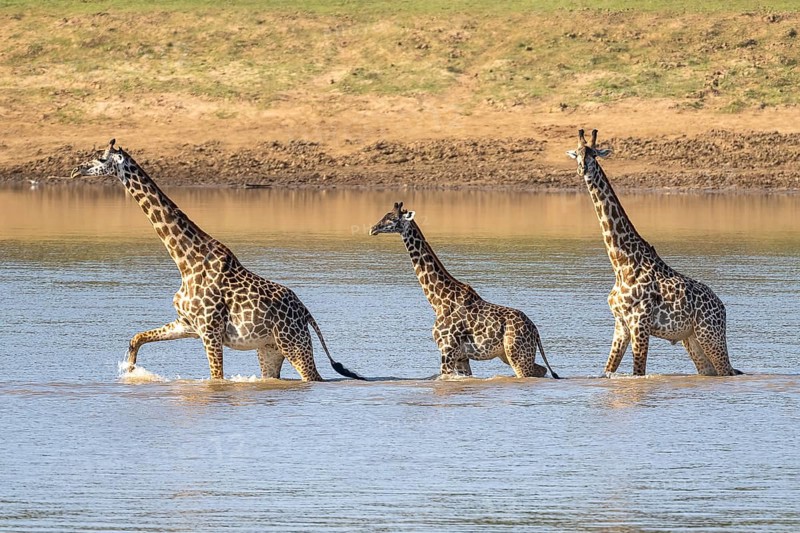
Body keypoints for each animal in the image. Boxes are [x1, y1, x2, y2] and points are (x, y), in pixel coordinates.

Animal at [71, 139, 364, 382]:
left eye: (100, 158)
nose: (75, 170)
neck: (185, 262)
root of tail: (305, 312)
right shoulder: (187, 324)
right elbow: (136, 337)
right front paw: (130, 370)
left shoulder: (210, 333)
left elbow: (216, 378)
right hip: (269, 349)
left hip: (294, 344)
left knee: (313, 377)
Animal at [370, 202, 559, 379]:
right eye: (384, 215)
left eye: (392, 219)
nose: (373, 228)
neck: (439, 300)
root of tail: (535, 331)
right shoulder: (461, 357)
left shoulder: (447, 350)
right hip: (509, 355)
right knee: (541, 370)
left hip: (517, 354)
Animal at [567, 129, 742, 376]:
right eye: (577, 153)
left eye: (594, 155)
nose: (583, 169)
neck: (621, 264)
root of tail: (722, 308)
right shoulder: (621, 324)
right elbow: (607, 370)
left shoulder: (640, 323)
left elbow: (638, 372)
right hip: (692, 339)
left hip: (710, 335)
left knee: (726, 370)